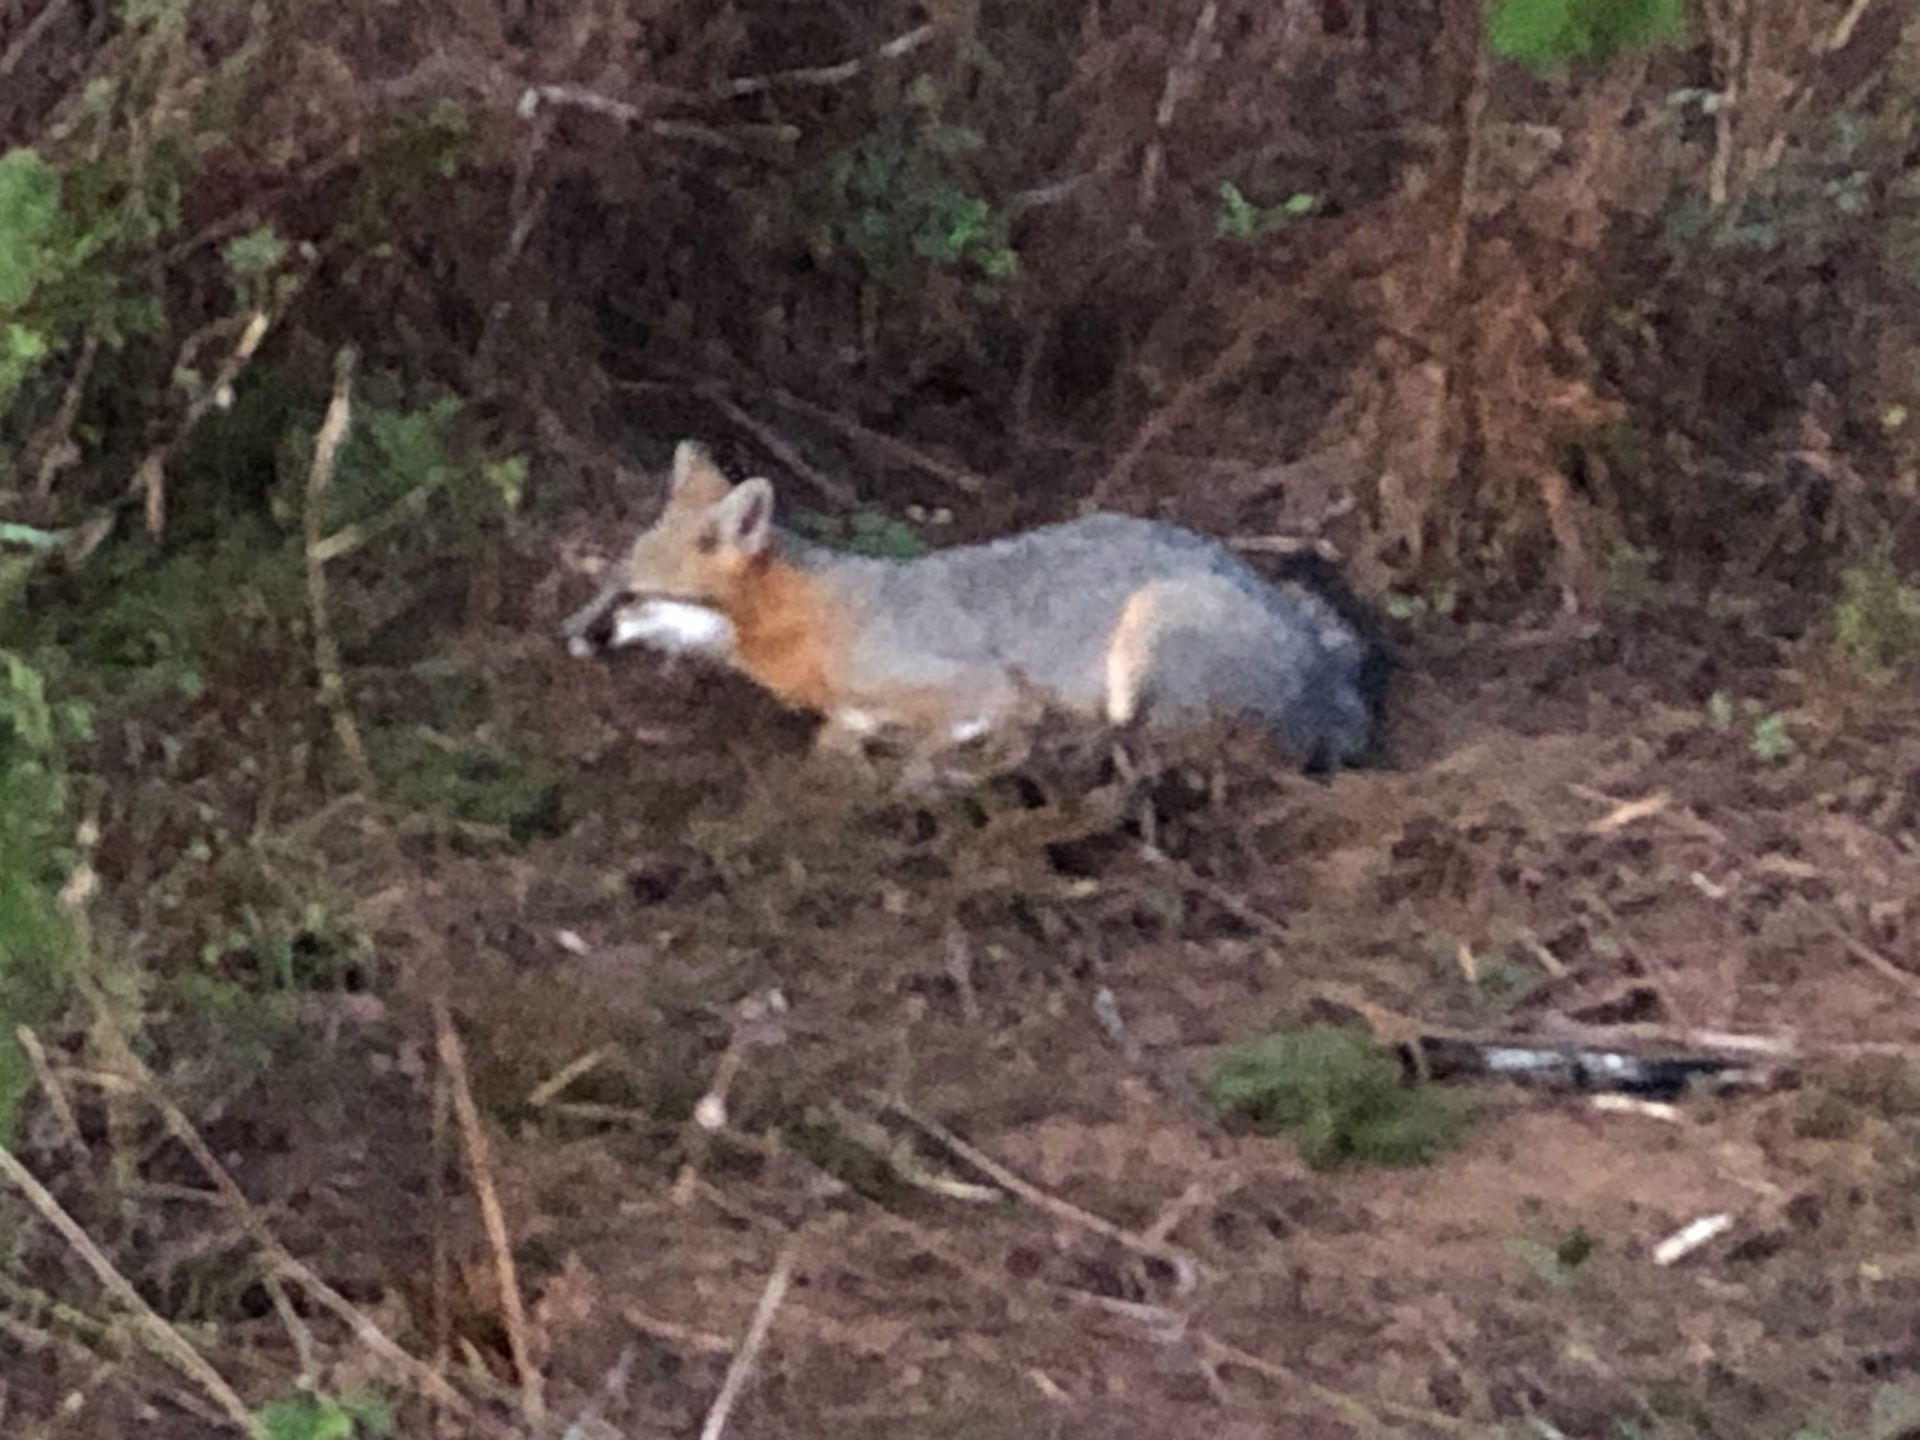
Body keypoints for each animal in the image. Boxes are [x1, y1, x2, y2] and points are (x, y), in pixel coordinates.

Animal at [563, 441, 1389, 772]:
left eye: (632, 595)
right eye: (608, 583)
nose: (568, 633)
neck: (822, 618)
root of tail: (1328, 686)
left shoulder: (982, 689)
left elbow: (935, 740)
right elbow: (835, 738)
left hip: (1146, 628)